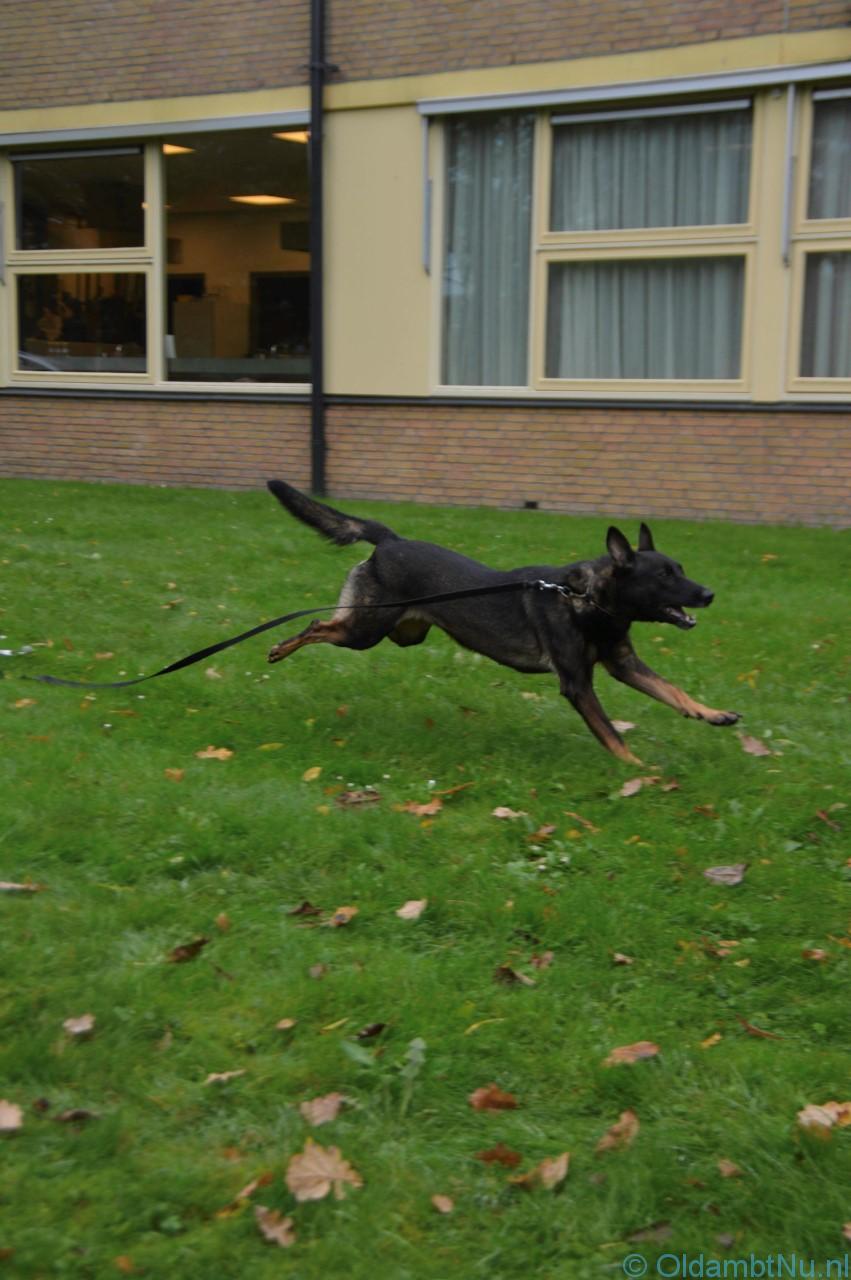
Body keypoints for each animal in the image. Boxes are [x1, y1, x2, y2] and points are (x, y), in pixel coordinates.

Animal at [266, 480, 739, 764]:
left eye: (680, 569)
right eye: (664, 577)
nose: (709, 594)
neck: (588, 601)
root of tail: (389, 541)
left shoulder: (624, 665)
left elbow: (673, 691)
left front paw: (713, 714)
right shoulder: (577, 683)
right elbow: (612, 734)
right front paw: (639, 771)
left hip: (404, 633)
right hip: (365, 631)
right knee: (317, 627)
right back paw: (280, 648)